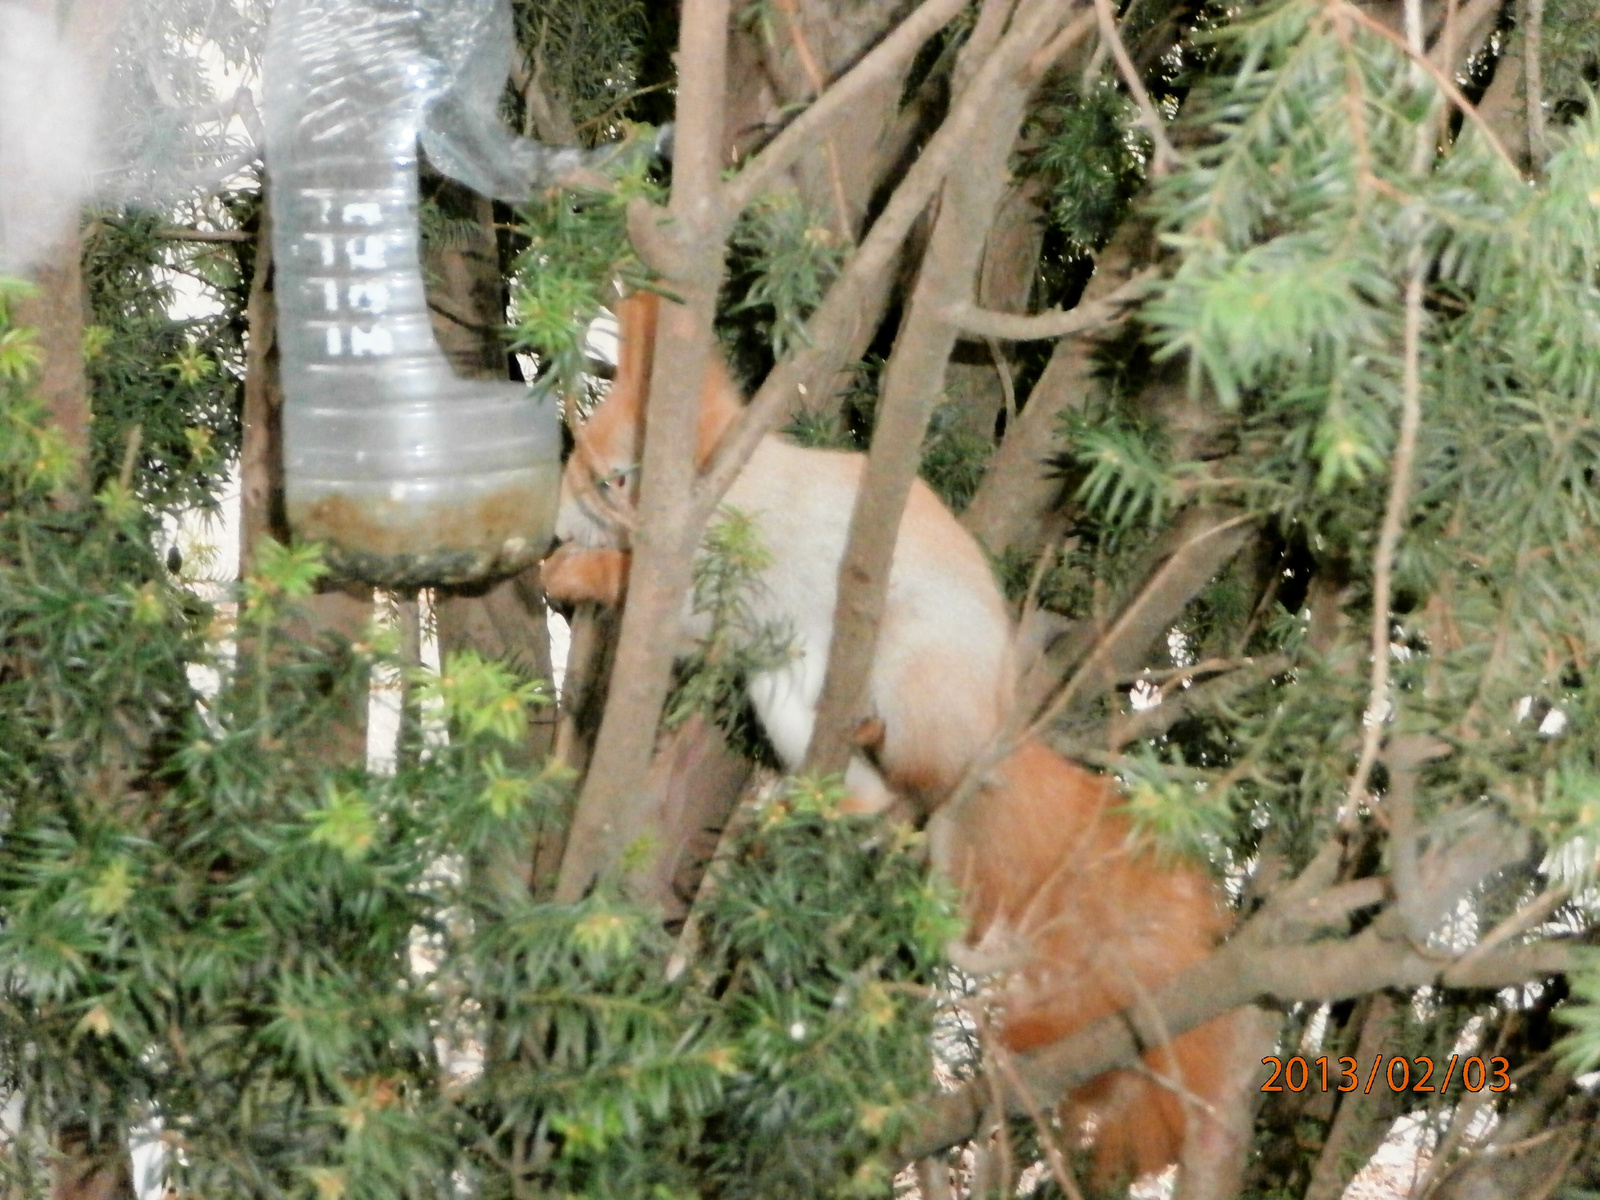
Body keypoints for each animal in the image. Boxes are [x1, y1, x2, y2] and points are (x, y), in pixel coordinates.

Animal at [544, 291, 1254, 1196]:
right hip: (781, 695)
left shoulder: (726, 572)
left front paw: (577, 577)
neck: (734, 487)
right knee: (885, 798)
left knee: (923, 779)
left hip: (913, 672)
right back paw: (808, 804)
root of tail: (992, 739)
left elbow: (662, 594)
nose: (562, 522)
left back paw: (873, 745)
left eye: (618, 475)